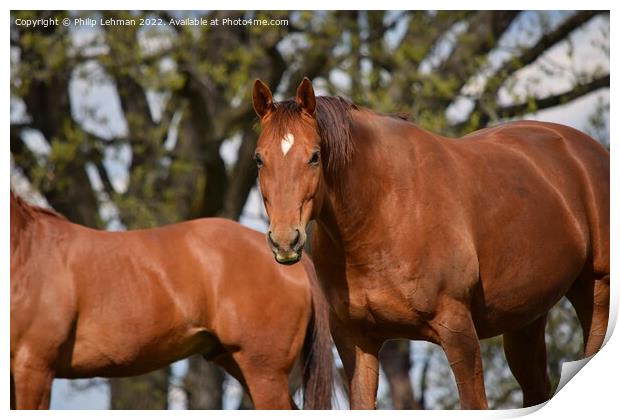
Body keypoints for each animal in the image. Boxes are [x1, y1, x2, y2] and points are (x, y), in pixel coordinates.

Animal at [252, 77, 612, 408]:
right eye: (259, 159)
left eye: (314, 156)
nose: (285, 240)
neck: (384, 211)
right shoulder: (356, 341)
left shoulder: (458, 333)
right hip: (526, 316)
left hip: (595, 291)